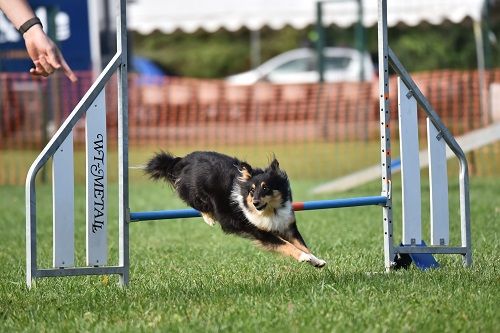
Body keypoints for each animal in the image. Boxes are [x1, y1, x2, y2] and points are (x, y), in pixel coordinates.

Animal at [145, 150, 326, 268]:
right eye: (252, 190)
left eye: (266, 188)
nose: (255, 202)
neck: (270, 210)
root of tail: (183, 160)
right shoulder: (260, 232)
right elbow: (288, 246)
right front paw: (304, 257)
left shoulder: (287, 226)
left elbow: (302, 245)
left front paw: (316, 260)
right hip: (195, 192)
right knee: (197, 203)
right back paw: (209, 218)